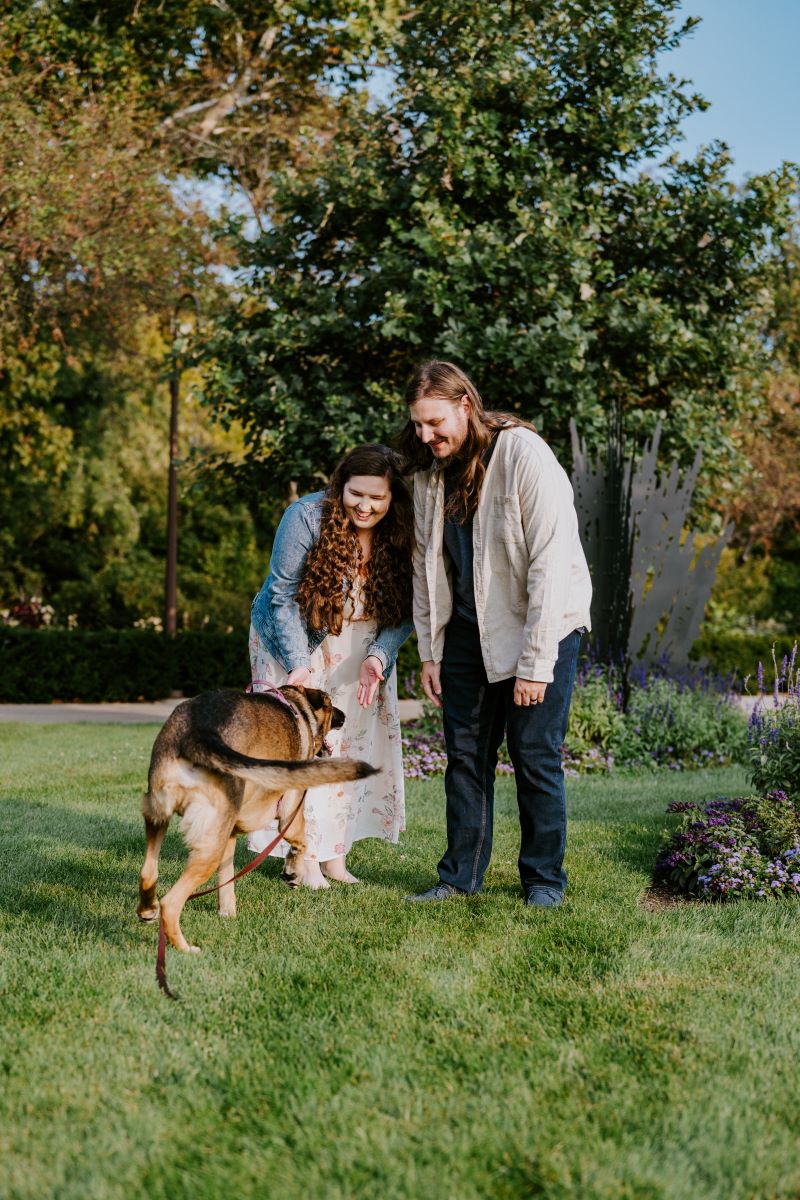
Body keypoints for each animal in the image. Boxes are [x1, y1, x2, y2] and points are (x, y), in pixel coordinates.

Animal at [138, 686, 381, 955]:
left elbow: (227, 878)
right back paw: (184, 947)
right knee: (171, 902)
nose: (344, 716)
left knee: (148, 873)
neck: (297, 706)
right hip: (208, 843)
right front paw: (293, 872)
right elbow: (301, 841)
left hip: (160, 817)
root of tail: (198, 732)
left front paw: (228, 912)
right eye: (329, 705)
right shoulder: (291, 810)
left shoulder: (230, 831)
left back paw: (147, 911)